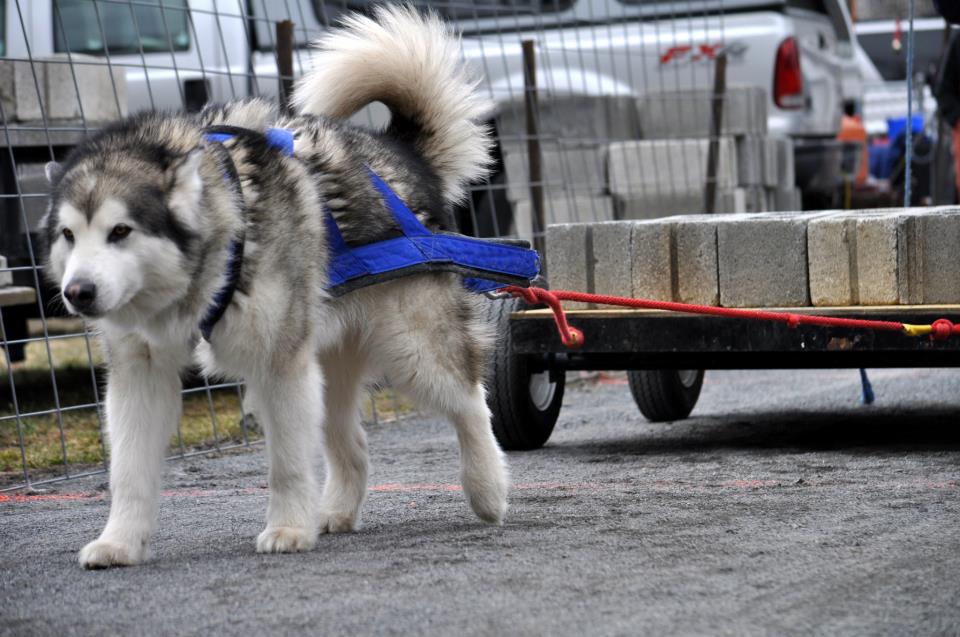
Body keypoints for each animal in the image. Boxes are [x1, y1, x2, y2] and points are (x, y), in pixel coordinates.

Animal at [43, 6, 510, 568]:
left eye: (120, 231)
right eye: (69, 235)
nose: (79, 293)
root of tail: (399, 151)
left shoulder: (278, 365)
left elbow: (287, 463)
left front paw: (288, 528)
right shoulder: (140, 374)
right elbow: (129, 472)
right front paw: (119, 541)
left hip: (412, 350)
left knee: (471, 403)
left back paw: (487, 489)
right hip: (328, 363)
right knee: (352, 442)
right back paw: (336, 511)